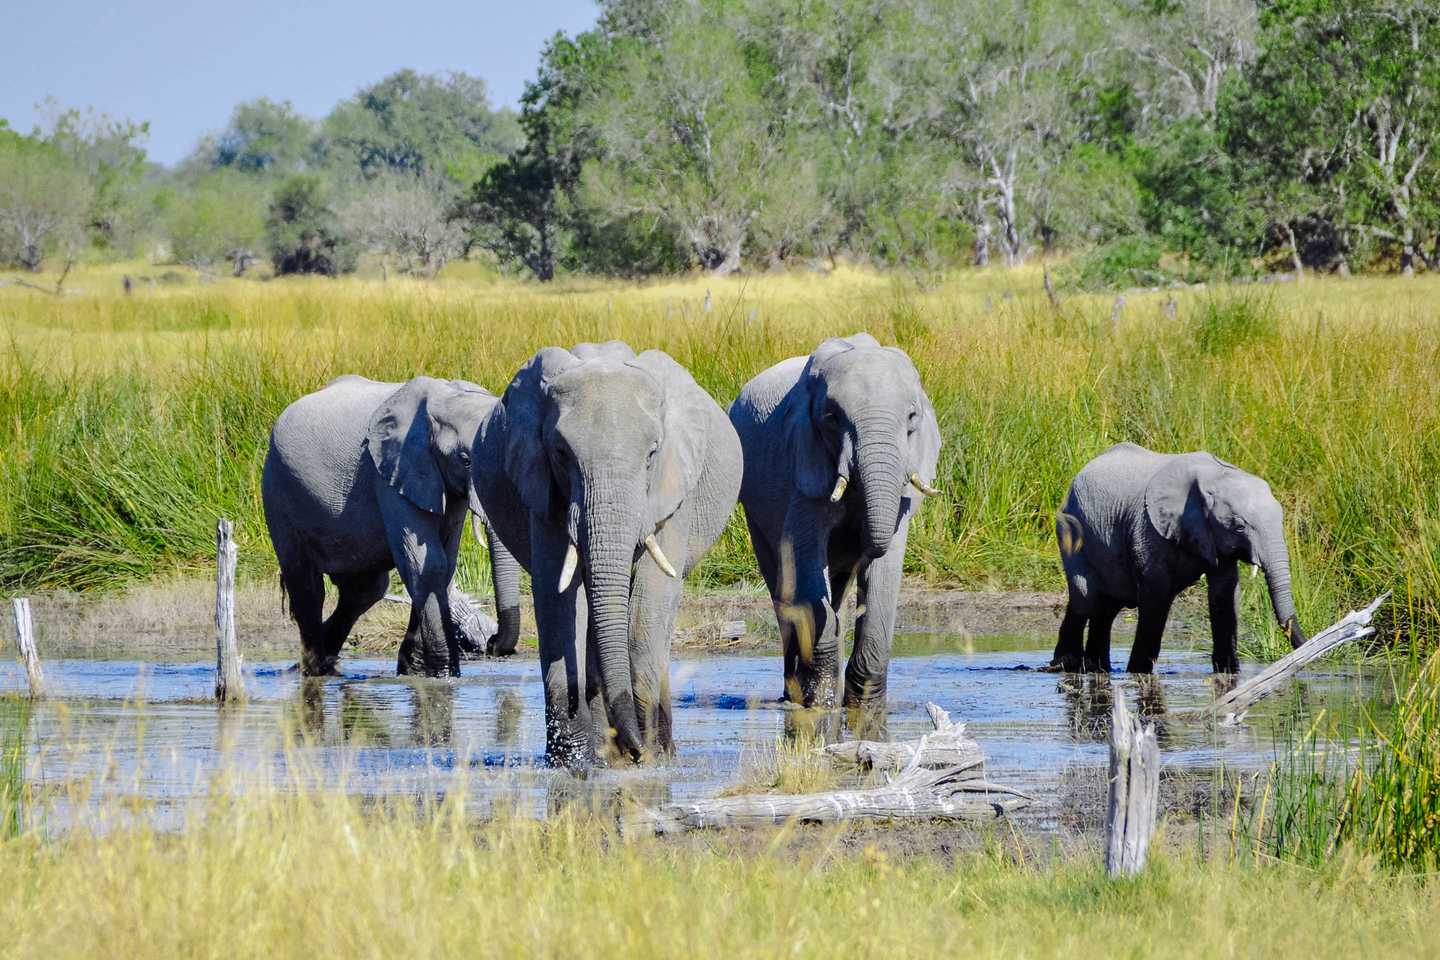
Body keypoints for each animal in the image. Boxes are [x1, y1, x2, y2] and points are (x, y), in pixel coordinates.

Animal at [262, 375, 522, 677]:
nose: (491, 643)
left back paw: (321, 665)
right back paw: (314, 669)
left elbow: (444, 563)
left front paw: (414, 671)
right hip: (277, 490)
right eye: (466, 460)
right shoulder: (390, 471)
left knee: (364, 591)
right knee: (307, 583)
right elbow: (428, 563)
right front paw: (441, 675)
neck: (446, 396)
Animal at [473, 341, 742, 767]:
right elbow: (556, 595)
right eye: (561, 453)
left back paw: (658, 748)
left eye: (651, 454)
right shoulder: (543, 488)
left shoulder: (671, 491)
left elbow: (651, 596)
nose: (633, 748)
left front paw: (648, 756)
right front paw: (575, 761)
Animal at [729, 333, 942, 714]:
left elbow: (886, 567)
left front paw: (864, 708)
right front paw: (821, 704)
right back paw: (793, 694)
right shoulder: (804, 464)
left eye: (912, 417)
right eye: (831, 417)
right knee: (782, 583)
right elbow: (807, 556)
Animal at [1049, 442, 1307, 675]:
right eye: (1240, 526)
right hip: (1071, 529)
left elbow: (1224, 594)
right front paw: (1139, 672)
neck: (1215, 476)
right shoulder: (1148, 528)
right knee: (1085, 597)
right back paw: (1066, 665)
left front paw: (1229, 672)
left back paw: (1097, 668)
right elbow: (1157, 595)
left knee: (1107, 607)